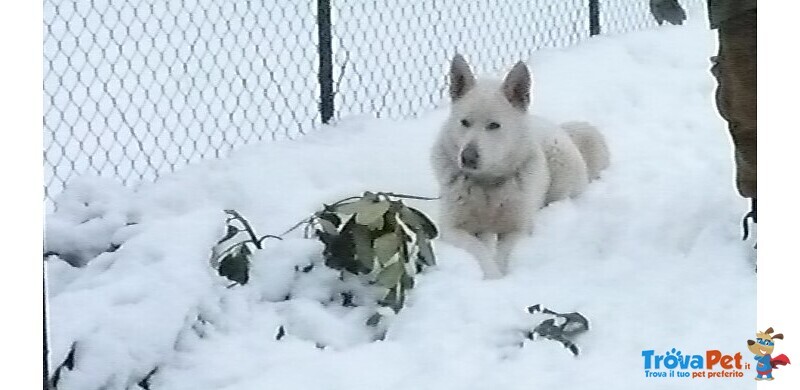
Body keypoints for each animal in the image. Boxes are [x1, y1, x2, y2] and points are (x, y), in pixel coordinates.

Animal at [432, 55, 608, 280]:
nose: (467, 158)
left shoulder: (518, 229)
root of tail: (560, 128)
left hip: (559, 168)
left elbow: (504, 253)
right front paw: (493, 276)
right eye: (464, 122)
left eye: (494, 125)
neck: (487, 185)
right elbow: (479, 250)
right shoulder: (451, 229)